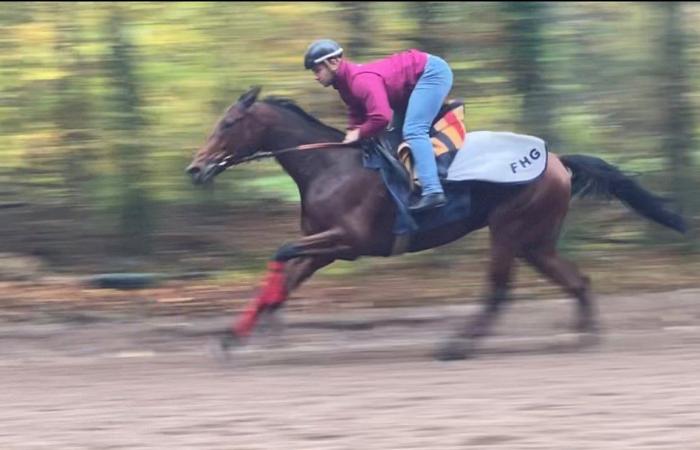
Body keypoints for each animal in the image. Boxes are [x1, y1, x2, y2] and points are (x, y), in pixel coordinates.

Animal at [185, 86, 684, 358]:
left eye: (228, 123)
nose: (195, 168)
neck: (328, 165)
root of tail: (558, 159)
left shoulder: (348, 239)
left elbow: (281, 253)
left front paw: (252, 332)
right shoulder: (328, 247)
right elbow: (287, 278)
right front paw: (236, 337)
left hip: (510, 230)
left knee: (499, 291)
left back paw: (457, 346)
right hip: (536, 241)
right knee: (577, 280)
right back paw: (582, 337)